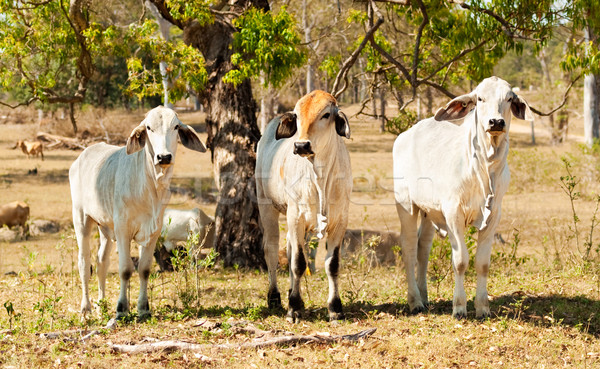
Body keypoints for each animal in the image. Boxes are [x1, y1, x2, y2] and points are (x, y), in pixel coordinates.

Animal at [68, 106, 206, 320]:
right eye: (148, 128)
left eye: (175, 126)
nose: (164, 157)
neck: (150, 186)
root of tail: (82, 156)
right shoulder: (123, 229)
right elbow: (125, 270)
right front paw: (122, 309)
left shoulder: (153, 230)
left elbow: (144, 269)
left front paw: (144, 308)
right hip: (82, 218)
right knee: (84, 263)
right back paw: (86, 309)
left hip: (105, 227)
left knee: (101, 263)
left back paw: (101, 305)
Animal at [254, 90, 352, 320]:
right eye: (297, 116)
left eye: (326, 114)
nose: (301, 146)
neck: (320, 175)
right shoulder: (295, 216)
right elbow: (298, 263)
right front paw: (294, 308)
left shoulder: (340, 221)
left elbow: (332, 264)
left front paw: (335, 308)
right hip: (266, 206)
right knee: (271, 250)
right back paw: (275, 297)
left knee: (290, 249)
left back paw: (292, 291)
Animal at [396, 76, 532, 318]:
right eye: (480, 98)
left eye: (509, 99)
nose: (496, 122)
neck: (484, 168)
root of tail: (405, 135)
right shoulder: (453, 214)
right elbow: (460, 261)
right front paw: (459, 306)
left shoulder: (493, 216)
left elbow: (482, 263)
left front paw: (483, 307)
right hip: (406, 205)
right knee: (409, 248)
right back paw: (415, 301)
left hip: (429, 211)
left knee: (423, 248)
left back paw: (424, 295)